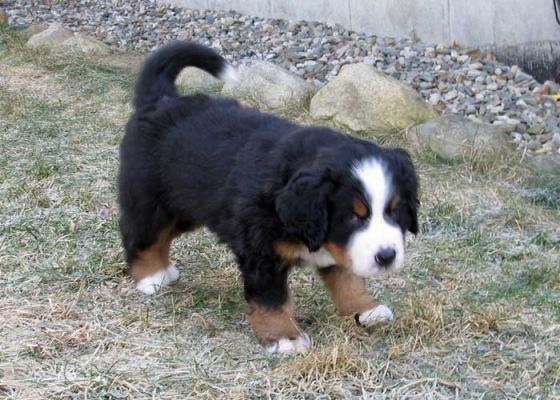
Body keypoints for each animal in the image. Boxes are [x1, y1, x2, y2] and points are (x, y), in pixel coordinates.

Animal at [118, 41, 418, 354]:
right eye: (352, 217)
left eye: (395, 211)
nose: (386, 256)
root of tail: (161, 100)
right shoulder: (261, 252)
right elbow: (272, 299)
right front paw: (285, 337)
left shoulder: (336, 246)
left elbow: (349, 281)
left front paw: (367, 310)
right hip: (151, 201)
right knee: (140, 235)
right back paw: (151, 276)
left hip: (187, 209)